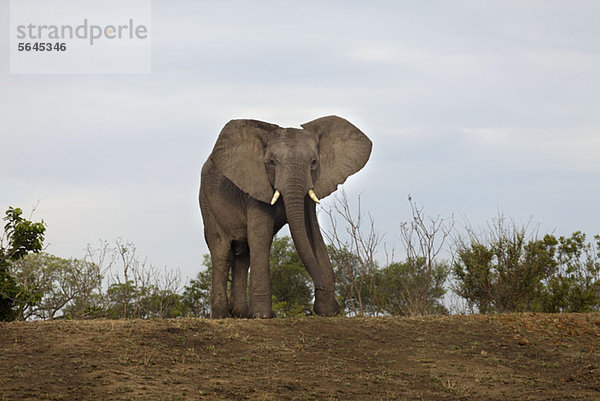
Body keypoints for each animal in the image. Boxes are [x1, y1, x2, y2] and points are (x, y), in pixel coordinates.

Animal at [199, 114, 372, 318]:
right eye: (271, 163)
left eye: (314, 162)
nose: (337, 307)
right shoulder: (255, 184)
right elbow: (261, 235)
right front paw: (263, 316)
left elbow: (310, 229)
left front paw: (328, 311)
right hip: (207, 203)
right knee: (222, 251)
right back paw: (222, 315)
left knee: (244, 254)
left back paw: (241, 314)